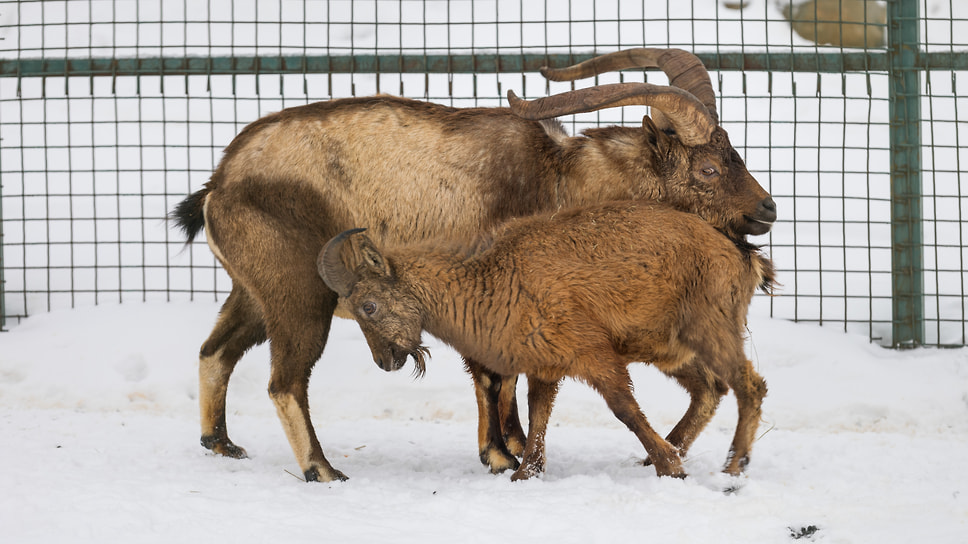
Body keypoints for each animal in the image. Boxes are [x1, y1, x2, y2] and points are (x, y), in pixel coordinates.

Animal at [322, 202, 776, 482]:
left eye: (368, 306)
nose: (386, 361)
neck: (494, 279)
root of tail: (742, 255)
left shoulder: (594, 354)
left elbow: (624, 409)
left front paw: (672, 469)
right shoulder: (544, 366)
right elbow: (538, 416)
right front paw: (526, 473)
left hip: (711, 328)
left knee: (749, 386)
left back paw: (733, 465)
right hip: (672, 349)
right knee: (710, 388)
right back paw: (666, 453)